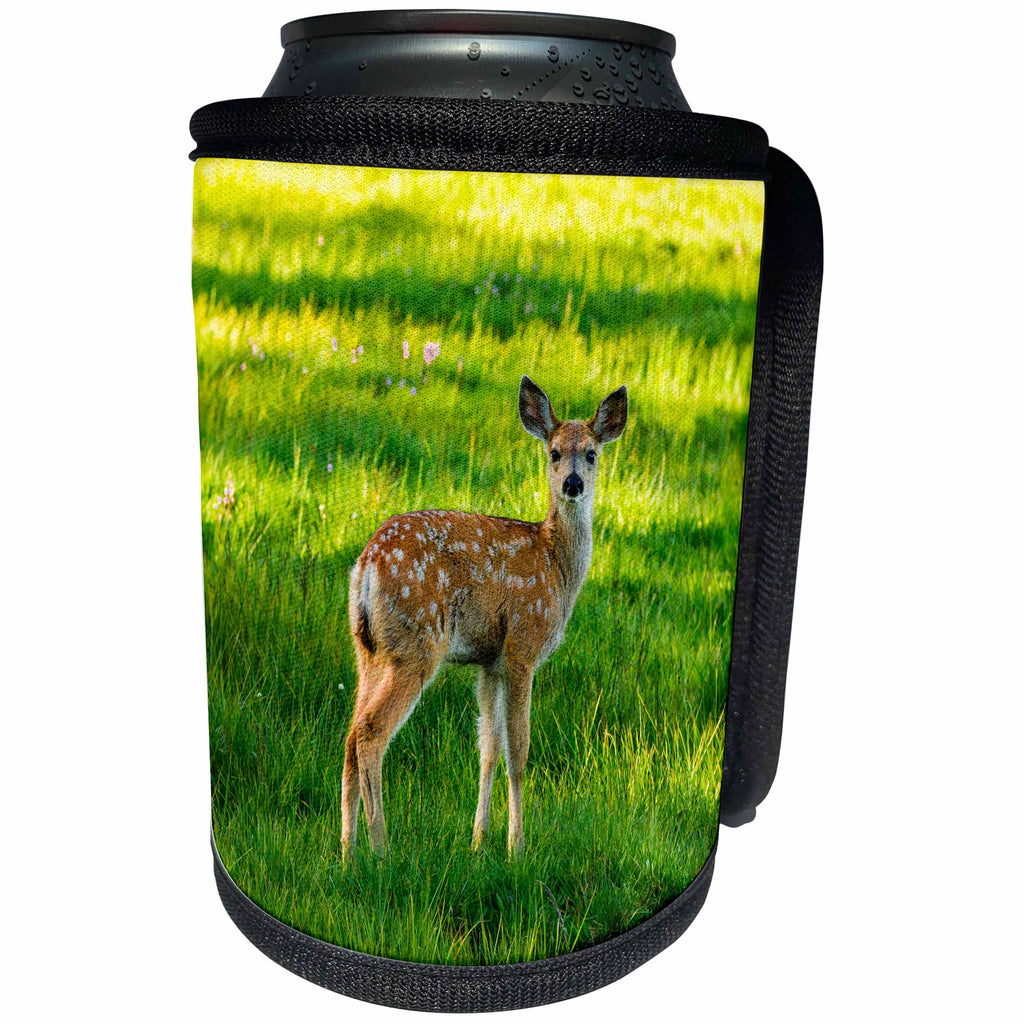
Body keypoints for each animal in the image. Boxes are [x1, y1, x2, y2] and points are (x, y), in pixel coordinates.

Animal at [341, 375, 628, 857]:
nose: (572, 483)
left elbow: (488, 748)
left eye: (592, 453)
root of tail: (366, 567)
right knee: (370, 733)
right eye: (553, 452)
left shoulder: (488, 662)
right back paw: (382, 850)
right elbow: (519, 751)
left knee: (349, 733)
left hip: (369, 648)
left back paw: (346, 850)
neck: (557, 565)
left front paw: (478, 839)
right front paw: (517, 846)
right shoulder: (522, 645)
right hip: (416, 645)